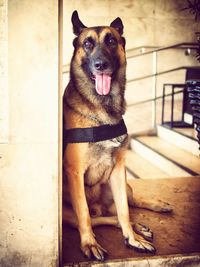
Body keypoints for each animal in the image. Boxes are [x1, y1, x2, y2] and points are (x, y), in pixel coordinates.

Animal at [63, 11, 172, 262]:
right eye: (87, 44)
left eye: (111, 41)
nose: (101, 65)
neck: (102, 109)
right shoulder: (74, 172)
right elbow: (85, 215)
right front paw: (90, 244)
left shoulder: (119, 170)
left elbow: (124, 210)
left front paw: (132, 238)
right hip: (65, 213)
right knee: (95, 218)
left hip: (119, 185)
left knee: (127, 205)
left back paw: (144, 218)